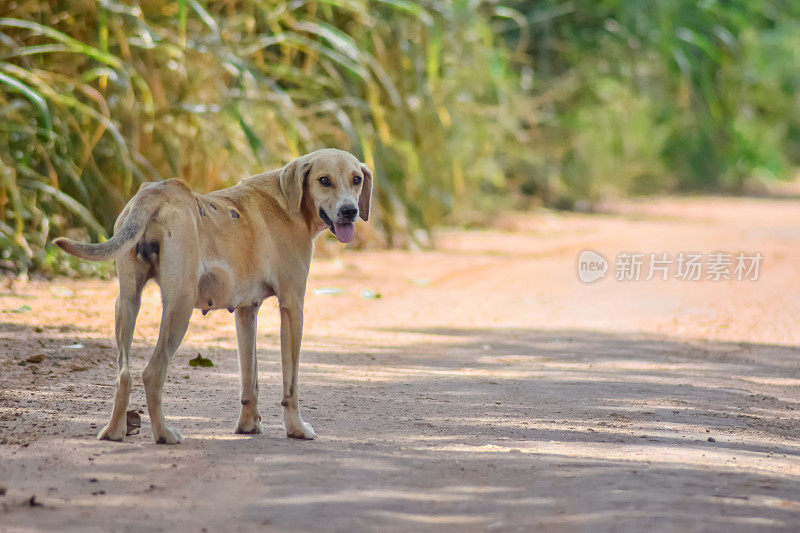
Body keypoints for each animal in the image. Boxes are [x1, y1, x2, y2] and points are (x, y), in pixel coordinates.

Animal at [54, 148, 374, 442]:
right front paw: (296, 428)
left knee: (124, 372)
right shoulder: (293, 306)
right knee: (152, 372)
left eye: (356, 179)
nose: (350, 211)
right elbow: (290, 382)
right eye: (324, 180)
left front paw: (248, 426)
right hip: (179, 306)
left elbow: (250, 378)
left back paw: (114, 432)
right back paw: (164, 434)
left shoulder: (246, 311)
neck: (287, 201)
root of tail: (156, 192)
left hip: (127, 301)